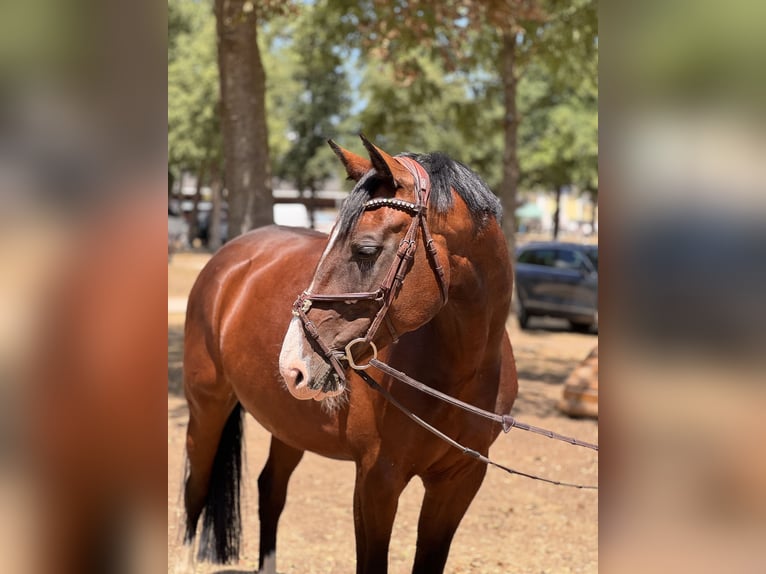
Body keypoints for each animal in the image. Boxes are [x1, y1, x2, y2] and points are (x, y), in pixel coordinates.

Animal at [180, 135, 518, 574]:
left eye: (366, 250)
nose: (292, 364)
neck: (462, 375)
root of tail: (228, 258)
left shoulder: (461, 481)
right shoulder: (377, 480)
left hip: (289, 425)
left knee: (270, 490)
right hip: (206, 408)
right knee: (195, 490)